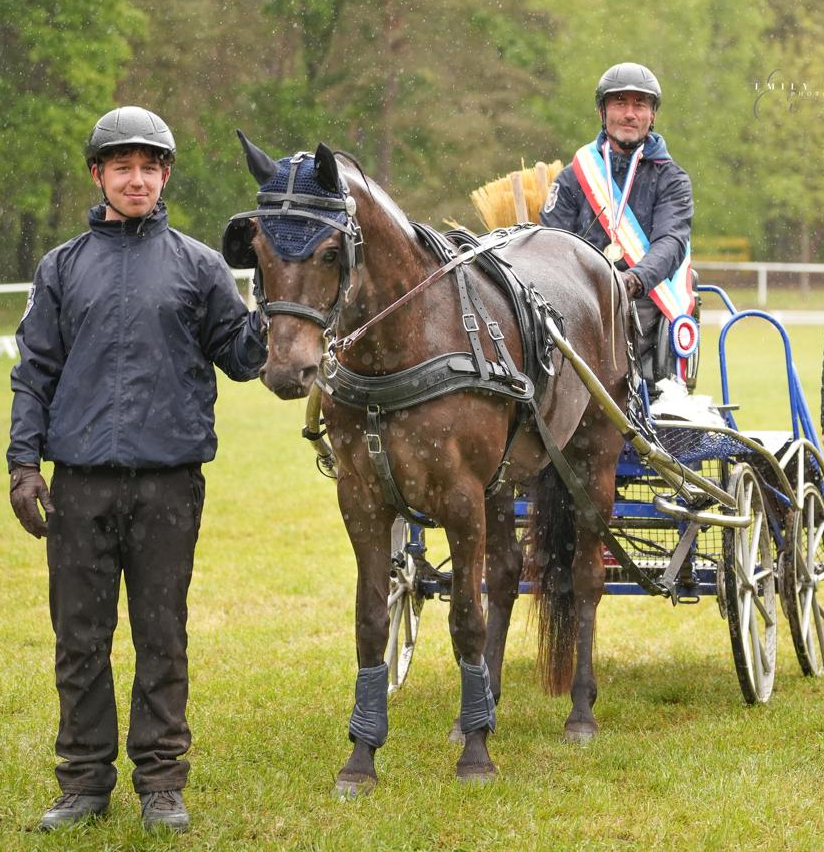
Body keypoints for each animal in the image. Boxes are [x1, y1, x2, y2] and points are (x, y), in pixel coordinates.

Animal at [223, 134, 631, 795]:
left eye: (332, 250)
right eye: (255, 247)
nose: (288, 369)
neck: (401, 341)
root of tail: (595, 258)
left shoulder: (460, 496)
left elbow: (465, 617)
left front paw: (477, 756)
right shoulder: (362, 499)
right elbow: (372, 620)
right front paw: (363, 756)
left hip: (592, 455)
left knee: (585, 576)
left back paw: (579, 711)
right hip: (505, 478)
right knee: (504, 575)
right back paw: (483, 706)